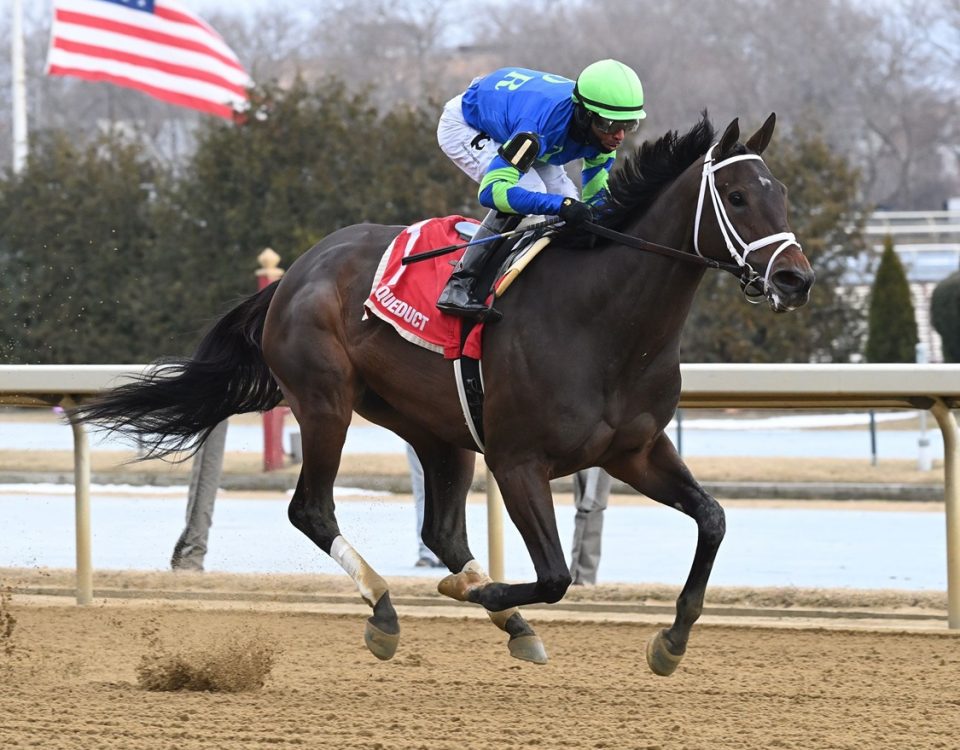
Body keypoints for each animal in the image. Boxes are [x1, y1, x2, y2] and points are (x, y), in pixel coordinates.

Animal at [75, 114, 812, 680]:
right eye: (737, 197)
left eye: (782, 194)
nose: (795, 279)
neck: (606, 322)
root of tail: (296, 271)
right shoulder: (519, 461)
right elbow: (554, 575)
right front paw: (475, 589)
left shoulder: (635, 449)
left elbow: (712, 519)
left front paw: (671, 642)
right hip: (325, 401)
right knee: (312, 508)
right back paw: (388, 610)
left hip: (436, 428)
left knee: (440, 529)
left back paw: (508, 622)